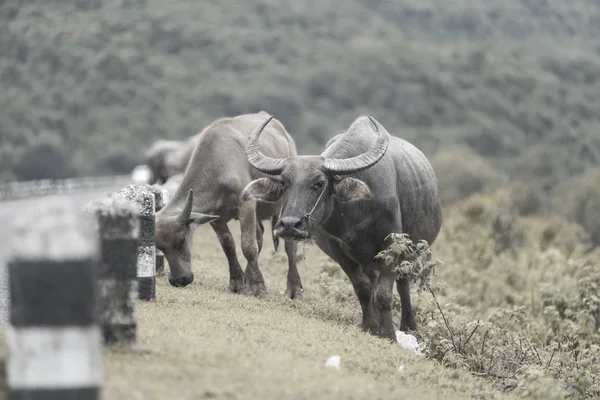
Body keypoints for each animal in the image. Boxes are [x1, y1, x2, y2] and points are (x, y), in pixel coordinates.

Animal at [155, 111, 304, 298]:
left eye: (181, 240)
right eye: (159, 246)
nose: (178, 280)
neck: (218, 166)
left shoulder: (246, 206)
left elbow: (248, 246)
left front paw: (259, 288)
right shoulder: (216, 217)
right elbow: (228, 245)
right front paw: (238, 284)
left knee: (289, 244)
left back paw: (294, 290)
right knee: (260, 236)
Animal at [241, 114, 442, 340]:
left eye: (319, 183)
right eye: (284, 183)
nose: (290, 225)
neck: (357, 212)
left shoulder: (392, 248)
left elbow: (383, 294)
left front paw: (389, 334)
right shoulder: (339, 251)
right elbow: (362, 288)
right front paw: (370, 326)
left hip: (409, 252)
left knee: (403, 283)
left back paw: (409, 327)